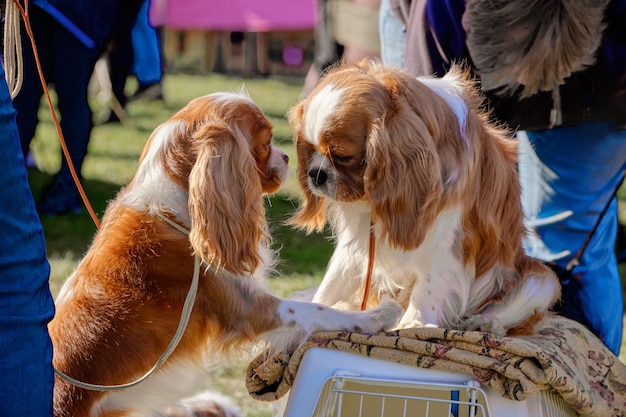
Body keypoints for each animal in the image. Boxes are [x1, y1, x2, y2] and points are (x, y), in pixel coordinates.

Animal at [50, 89, 400, 414]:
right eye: (266, 142)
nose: (287, 157)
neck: (180, 207)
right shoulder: (247, 307)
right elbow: (317, 311)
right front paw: (377, 315)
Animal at [290, 61, 560, 334]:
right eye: (309, 150)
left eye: (342, 156)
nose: (315, 174)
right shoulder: (355, 243)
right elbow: (333, 282)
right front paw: (317, 308)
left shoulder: (445, 239)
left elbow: (429, 286)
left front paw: (413, 324)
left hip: (541, 281)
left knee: (507, 319)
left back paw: (483, 322)